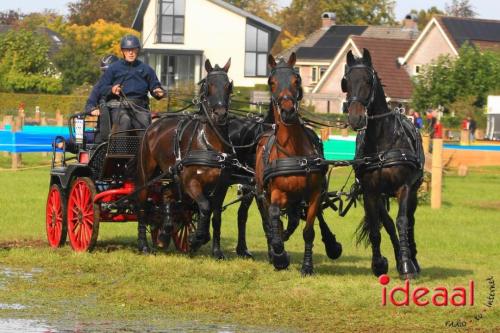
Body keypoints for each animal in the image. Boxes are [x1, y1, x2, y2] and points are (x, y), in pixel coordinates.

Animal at [136, 57, 235, 254]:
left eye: (228, 86)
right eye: (209, 86)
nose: (220, 114)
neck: (209, 142)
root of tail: (153, 125)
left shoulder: (221, 187)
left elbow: (216, 216)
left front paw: (216, 250)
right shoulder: (191, 182)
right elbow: (204, 206)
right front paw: (196, 238)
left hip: (173, 176)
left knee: (166, 193)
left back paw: (164, 234)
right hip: (148, 175)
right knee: (143, 205)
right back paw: (143, 244)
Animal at [256, 53, 334, 274]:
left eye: (296, 80)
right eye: (271, 82)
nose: (288, 111)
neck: (293, 153)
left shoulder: (313, 195)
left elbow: (308, 230)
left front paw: (307, 266)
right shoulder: (275, 193)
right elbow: (273, 218)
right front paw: (279, 256)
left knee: (292, 220)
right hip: (261, 193)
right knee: (269, 221)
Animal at [344, 48, 426, 278]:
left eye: (368, 80)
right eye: (346, 82)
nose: (355, 118)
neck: (382, 143)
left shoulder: (404, 187)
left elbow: (402, 222)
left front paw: (407, 265)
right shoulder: (370, 192)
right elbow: (376, 227)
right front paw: (379, 263)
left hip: (413, 191)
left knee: (410, 221)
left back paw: (412, 259)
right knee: (387, 222)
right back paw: (399, 256)